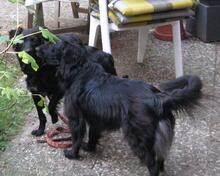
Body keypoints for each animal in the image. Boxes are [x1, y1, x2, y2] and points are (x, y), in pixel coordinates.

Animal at [38, 42, 203, 176]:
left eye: (53, 47)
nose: (37, 49)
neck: (80, 69)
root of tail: (158, 98)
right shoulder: (95, 118)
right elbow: (92, 136)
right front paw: (89, 148)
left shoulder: (76, 118)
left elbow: (76, 137)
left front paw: (72, 153)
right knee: (160, 159)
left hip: (137, 136)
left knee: (153, 164)